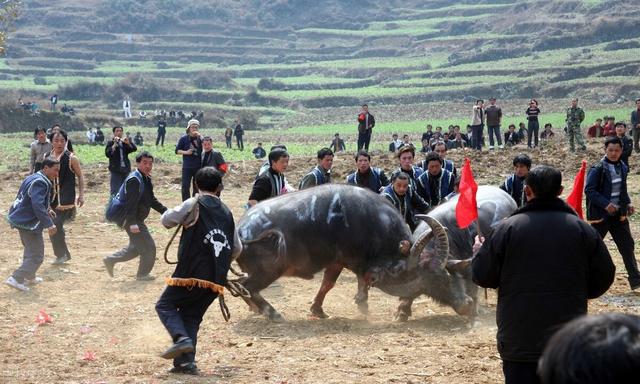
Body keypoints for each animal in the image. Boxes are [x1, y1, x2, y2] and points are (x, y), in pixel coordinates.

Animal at [236, 183, 430, 320]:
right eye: (399, 269)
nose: (406, 293)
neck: (374, 224)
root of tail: (240, 230)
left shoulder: (336, 262)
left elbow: (327, 284)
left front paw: (318, 310)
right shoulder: (353, 260)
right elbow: (361, 279)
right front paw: (363, 305)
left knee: (239, 285)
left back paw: (255, 308)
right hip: (268, 272)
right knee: (246, 287)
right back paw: (271, 312)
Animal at [372, 186, 516, 320]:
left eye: (446, 277)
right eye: (428, 290)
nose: (464, 306)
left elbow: (472, 285)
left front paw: (474, 312)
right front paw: (402, 311)